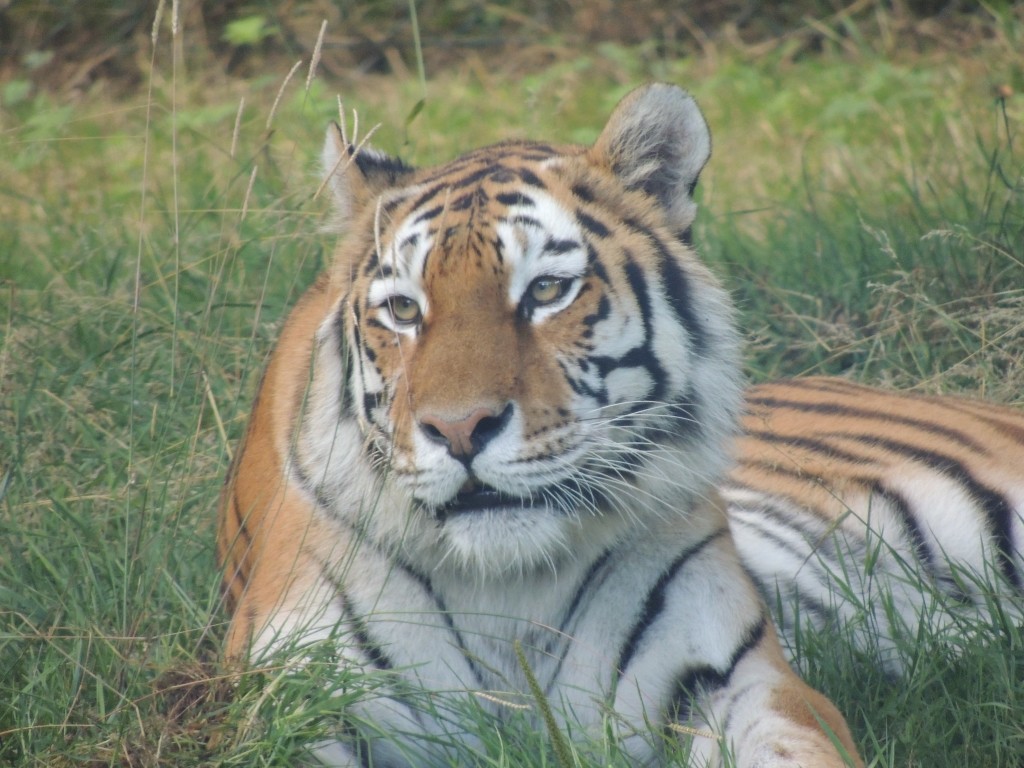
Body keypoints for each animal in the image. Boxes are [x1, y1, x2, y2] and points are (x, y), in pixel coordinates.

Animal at [218, 83, 1024, 768]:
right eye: (404, 310)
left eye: (547, 290)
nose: (459, 429)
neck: (507, 597)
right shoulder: (296, 700)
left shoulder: (741, 677)